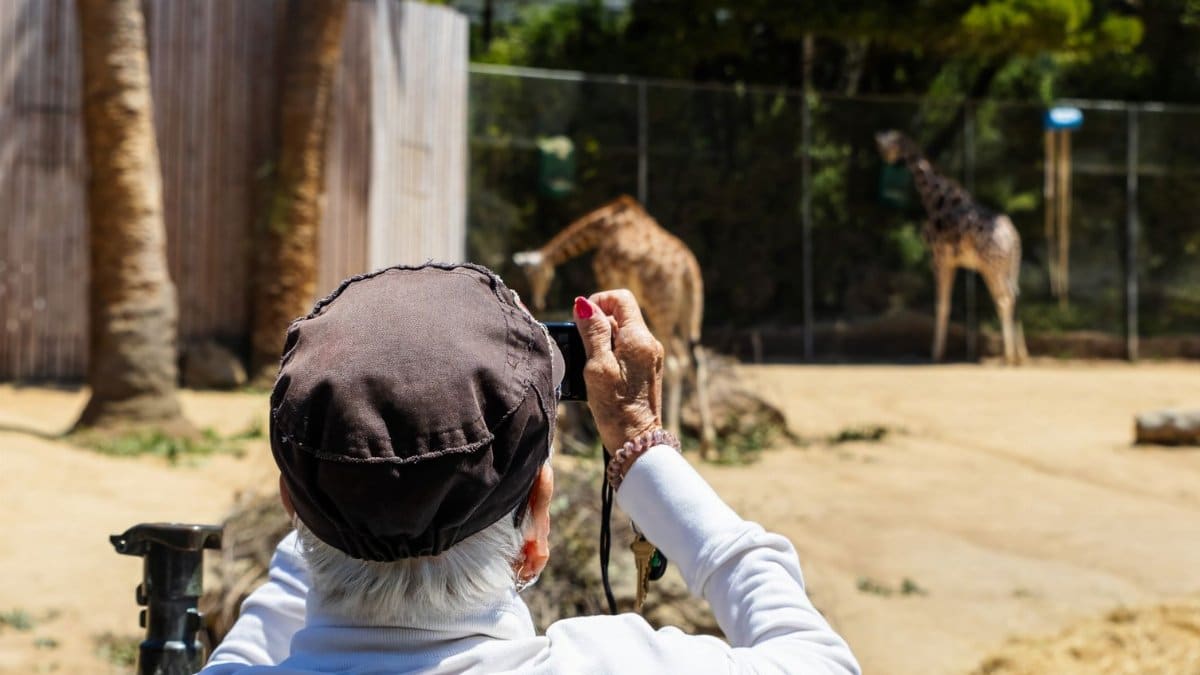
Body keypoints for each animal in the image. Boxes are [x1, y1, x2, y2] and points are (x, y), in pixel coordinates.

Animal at [512, 195, 717, 458]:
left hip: (661, 306)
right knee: (697, 361)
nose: (538, 300)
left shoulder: (607, 276)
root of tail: (687, 270)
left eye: (536, 274)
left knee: (676, 361)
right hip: (691, 312)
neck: (603, 226)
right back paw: (707, 444)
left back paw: (677, 430)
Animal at [875, 130, 1026, 365]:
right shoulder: (953, 262)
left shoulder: (939, 258)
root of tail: (1013, 239)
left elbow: (941, 305)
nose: (885, 157)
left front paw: (936, 354)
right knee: (1015, 297)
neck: (935, 199)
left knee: (1004, 300)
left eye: (887, 144)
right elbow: (945, 304)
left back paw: (1009, 357)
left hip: (992, 267)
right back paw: (1019, 356)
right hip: (1009, 268)